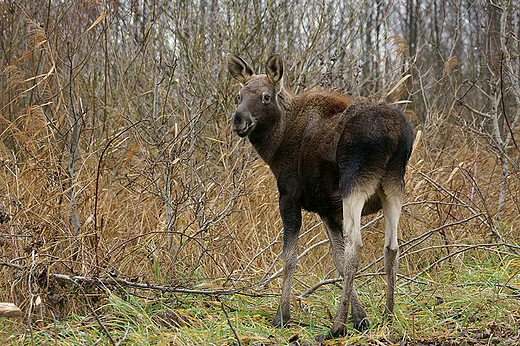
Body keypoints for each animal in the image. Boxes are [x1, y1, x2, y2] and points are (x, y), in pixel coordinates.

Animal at [228, 54, 414, 338]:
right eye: (238, 95)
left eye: (265, 96)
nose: (238, 119)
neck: (275, 145)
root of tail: (396, 136)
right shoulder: (326, 208)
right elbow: (337, 259)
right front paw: (361, 318)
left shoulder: (288, 198)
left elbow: (290, 259)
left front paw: (282, 316)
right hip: (393, 185)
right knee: (391, 246)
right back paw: (388, 316)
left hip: (354, 182)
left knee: (356, 245)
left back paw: (336, 326)